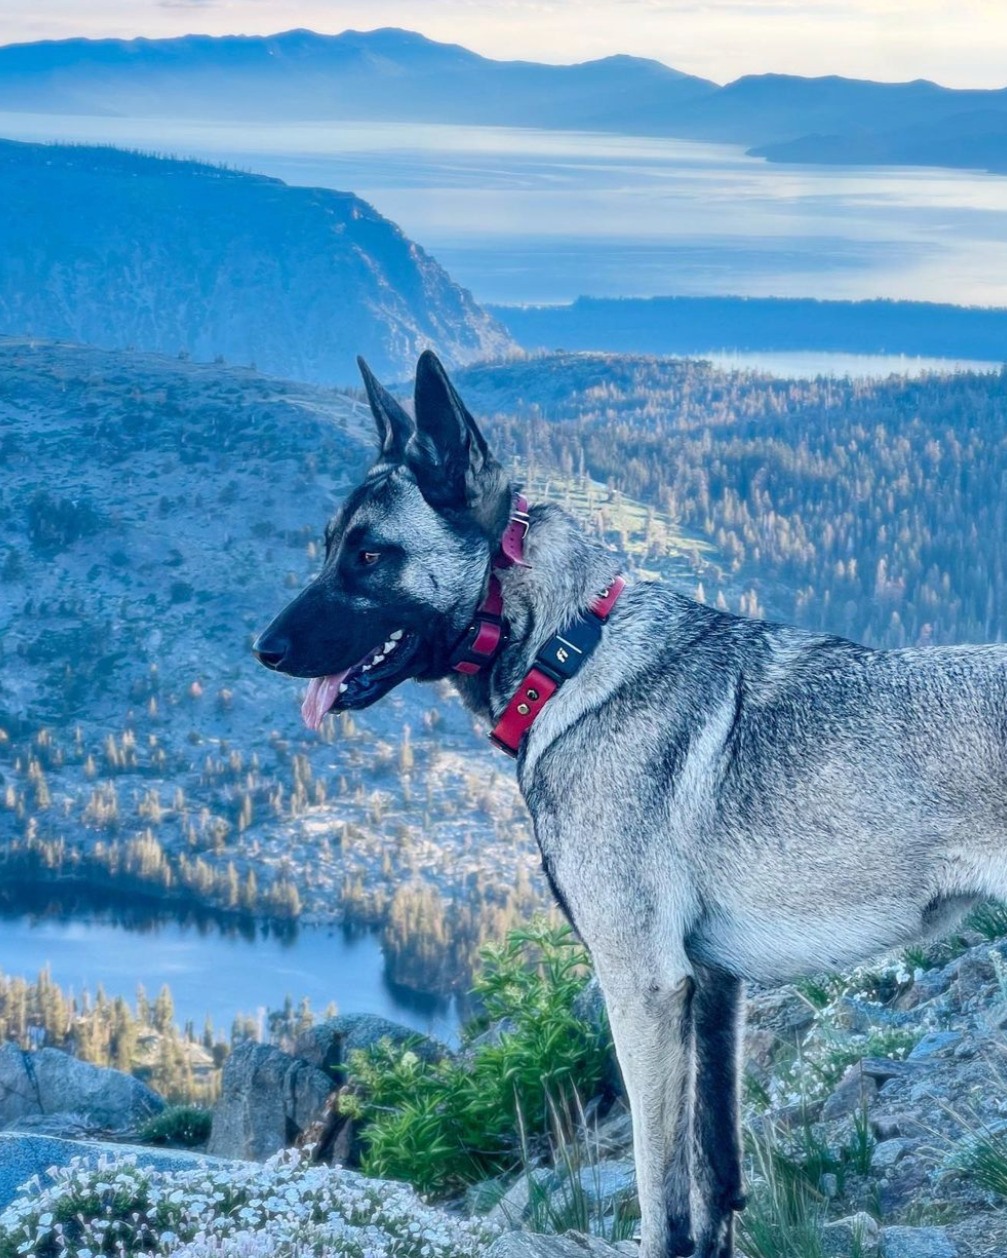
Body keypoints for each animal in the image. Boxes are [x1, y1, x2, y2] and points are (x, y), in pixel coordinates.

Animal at [254, 352, 1007, 1258]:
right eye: (331, 548)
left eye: (369, 555)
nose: (264, 649)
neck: (568, 653)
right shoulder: (713, 992)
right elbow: (715, 1177)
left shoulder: (642, 986)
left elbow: (661, 1193)